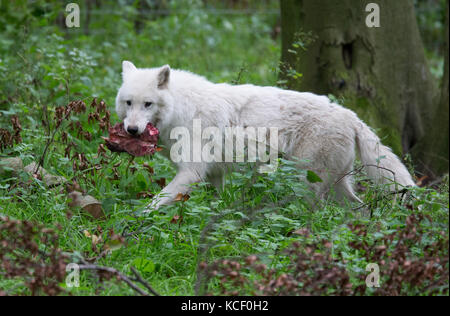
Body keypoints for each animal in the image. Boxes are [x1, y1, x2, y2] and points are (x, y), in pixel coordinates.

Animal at [116, 61, 414, 210]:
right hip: (336, 185)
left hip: (306, 182)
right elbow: (217, 202)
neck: (182, 108)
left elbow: (153, 205)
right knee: (358, 209)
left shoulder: (192, 173)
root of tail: (352, 116)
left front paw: (134, 224)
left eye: (148, 104)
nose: (132, 130)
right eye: (129, 103)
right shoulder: (214, 175)